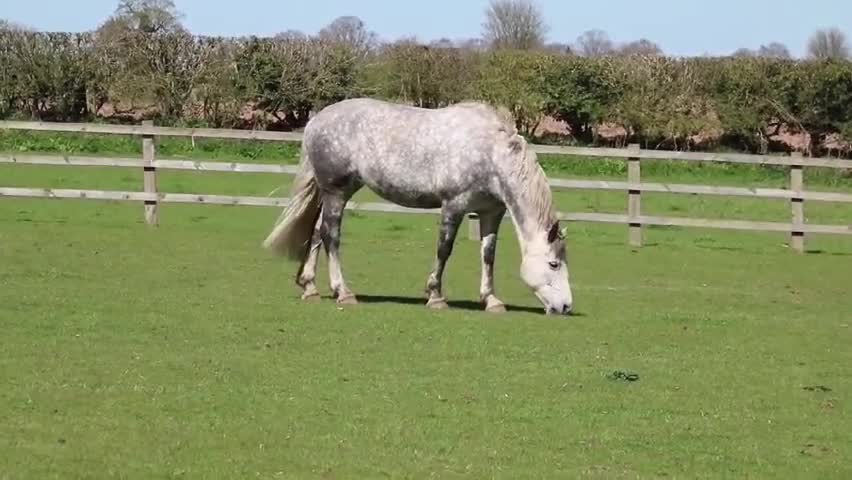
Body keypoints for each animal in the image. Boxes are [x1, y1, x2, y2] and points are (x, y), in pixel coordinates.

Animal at [262, 98, 576, 316]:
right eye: (554, 263)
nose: (565, 307)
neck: (490, 153)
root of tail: (315, 122)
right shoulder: (453, 206)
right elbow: (444, 250)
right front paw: (435, 296)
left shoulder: (491, 213)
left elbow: (488, 255)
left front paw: (491, 300)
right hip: (336, 192)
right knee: (331, 236)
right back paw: (344, 292)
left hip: (334, 193)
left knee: (316, 233)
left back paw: (310, 287)